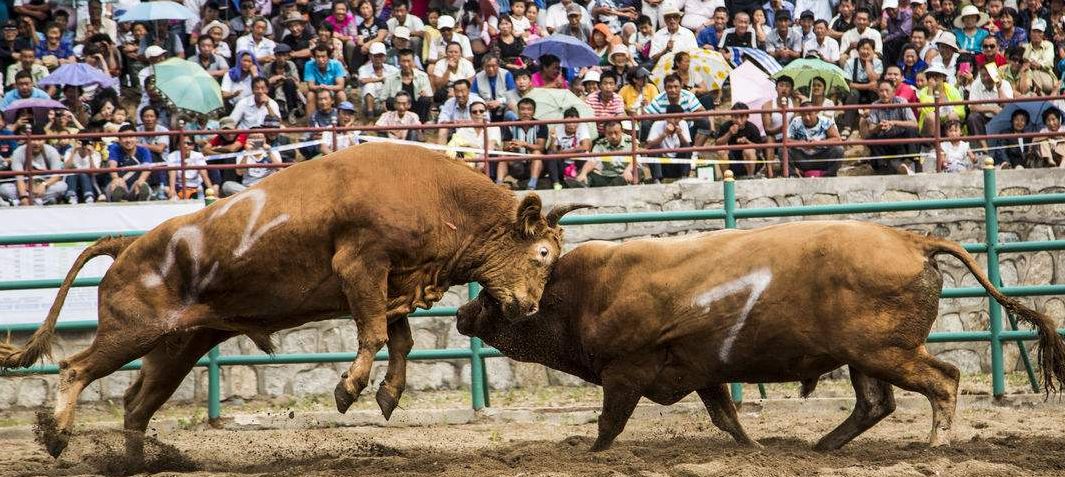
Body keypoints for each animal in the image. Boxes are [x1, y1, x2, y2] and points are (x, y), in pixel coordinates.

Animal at [0, 142, 592, 457]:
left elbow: (398, 339)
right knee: (76, 368)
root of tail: (129, 245)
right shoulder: (361, 268)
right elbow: (373, 333)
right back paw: (58, 436)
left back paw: (135, 462)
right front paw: (349, 388)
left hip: (177, 346)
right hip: (131, 332)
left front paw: (387, 395)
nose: (529, 307)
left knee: (135, 404)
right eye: (542, 252)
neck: (438, 197)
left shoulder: (393, 285)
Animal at [457, 219, 1065, 451]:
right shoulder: (702, 370)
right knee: (875, 403)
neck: (587, 289)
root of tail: (910, 239)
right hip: (866, 356)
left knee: (944, 380)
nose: (462, 314)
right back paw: (823, 447)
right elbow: (727, 416)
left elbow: (610, 422)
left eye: (488, 298)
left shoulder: (625, 371)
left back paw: (936, 444)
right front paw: (754, 449)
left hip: (888, 351)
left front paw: (593, 452)